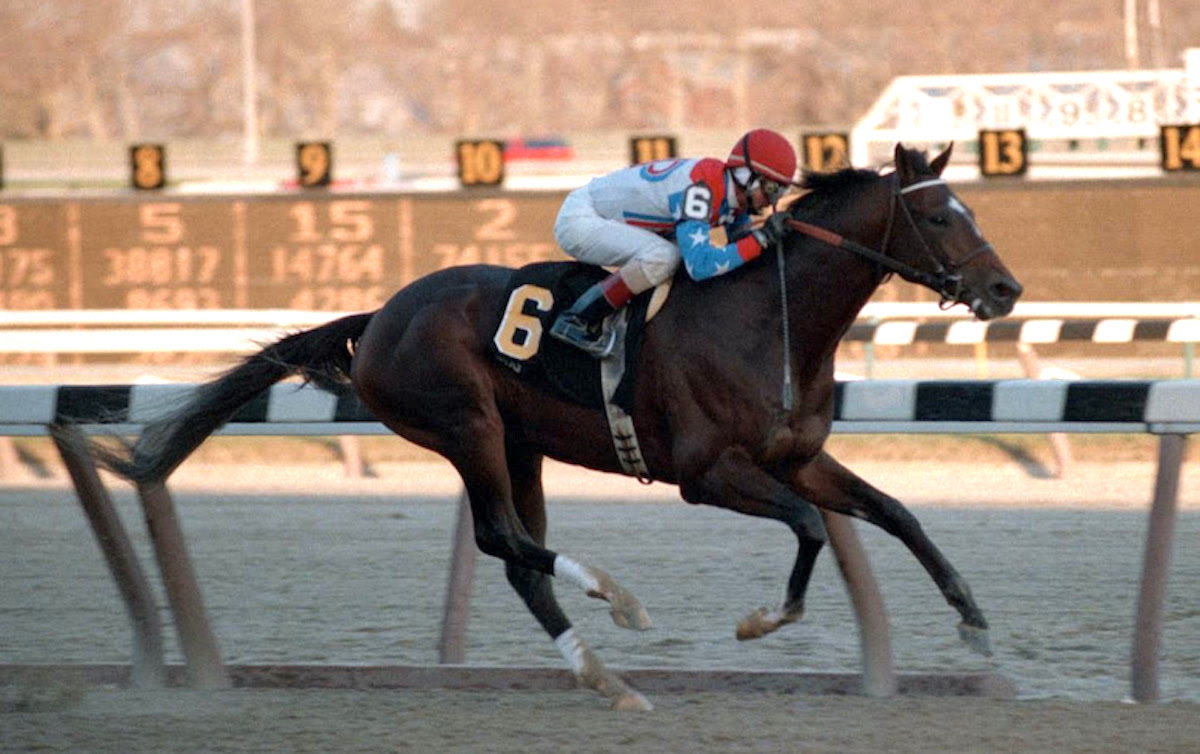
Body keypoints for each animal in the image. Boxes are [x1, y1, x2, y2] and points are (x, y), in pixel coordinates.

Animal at [100, 144, 1022, 710]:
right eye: (940, 217)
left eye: (972, 210)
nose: (1006, 291)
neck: (772, 315)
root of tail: (382, 314)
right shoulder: (706, 474)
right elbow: (809, 529)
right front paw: (764, 620)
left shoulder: (794, 458)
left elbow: (894, 514)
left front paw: (975, 623)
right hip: (465, 427)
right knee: (502, 540)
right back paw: (616, 599)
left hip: (520, 443)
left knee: (518, 561)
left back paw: (607, 678)